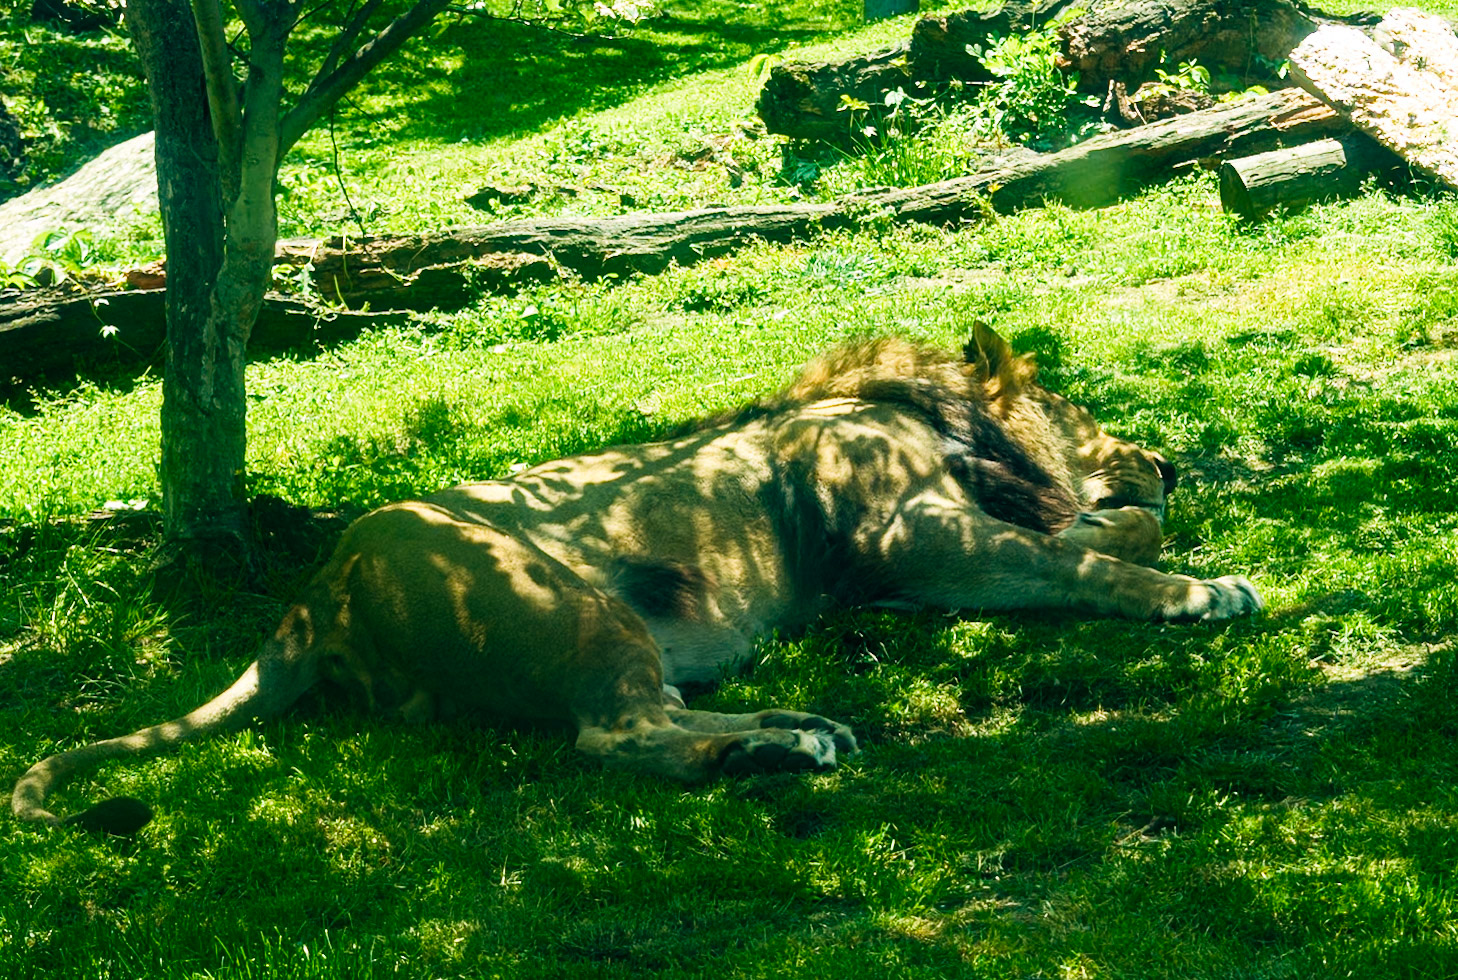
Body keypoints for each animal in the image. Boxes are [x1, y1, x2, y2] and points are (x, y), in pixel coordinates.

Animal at [11, 324, 1260, 834]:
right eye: (1080, 408)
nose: (1168, 456)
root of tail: (316, 595)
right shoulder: (910, 534)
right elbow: (1083, 559)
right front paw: (1203, 586)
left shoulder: (905, 566)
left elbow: (1101, 539)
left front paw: (1145, 522)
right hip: (568, 593)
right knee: (613, 735)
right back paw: (783, 748)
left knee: (656, 714)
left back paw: (797, 730)